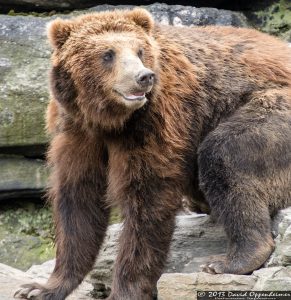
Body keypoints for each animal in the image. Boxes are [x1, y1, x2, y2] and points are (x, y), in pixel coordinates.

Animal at [15, 5, 291, 300]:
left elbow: (148, 199)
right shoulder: (76, 130)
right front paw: (39, 288)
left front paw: (125, 289)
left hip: (272, 109)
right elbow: (79, 200)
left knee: (225, 152)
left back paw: (230, 260)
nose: (144, 77)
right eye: (107, 54)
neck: (108, 120)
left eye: (139, 50)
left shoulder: (157, 119)